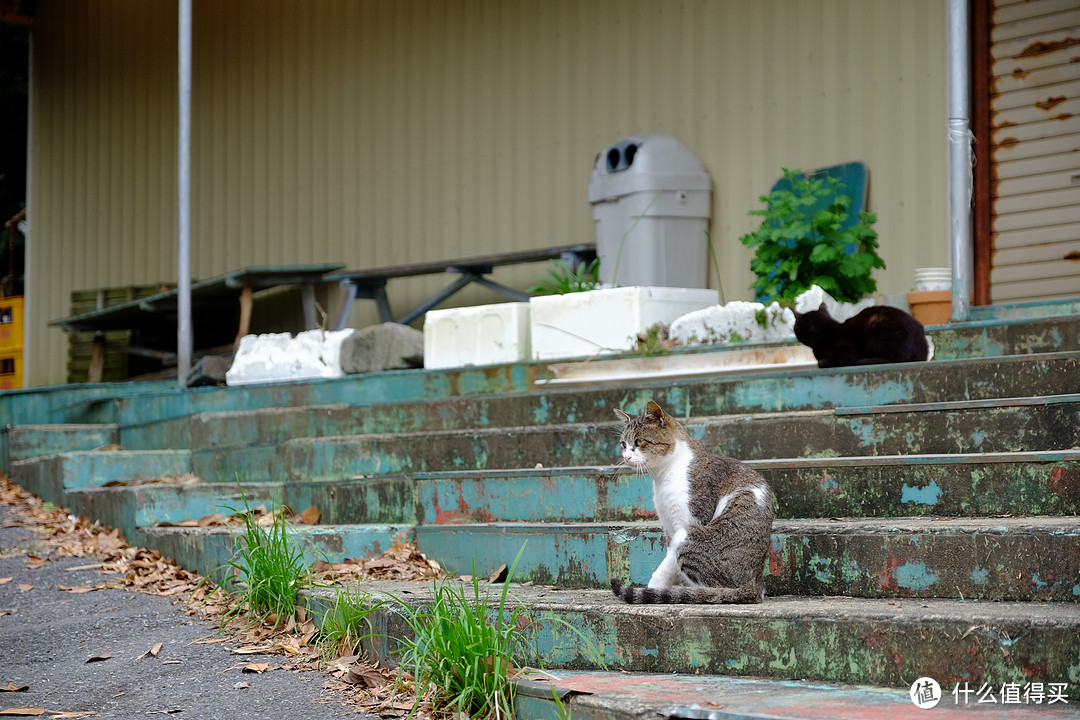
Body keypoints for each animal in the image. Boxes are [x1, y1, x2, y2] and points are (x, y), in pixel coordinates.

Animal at [609, 399, 777, 604]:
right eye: (623, 444)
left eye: (639, 442)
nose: (626, 457)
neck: (664, 474)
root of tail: (755, 585)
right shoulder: (668, 527)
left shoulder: (687, 521)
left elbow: (667, 565)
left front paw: (654, 589)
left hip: (690, 538)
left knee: (716, 590)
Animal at [790, 302, 933, 369]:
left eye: (795, 327)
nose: (793, 330)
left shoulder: (847, 351)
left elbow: (821, 362)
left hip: (876, 330)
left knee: (893, 359)